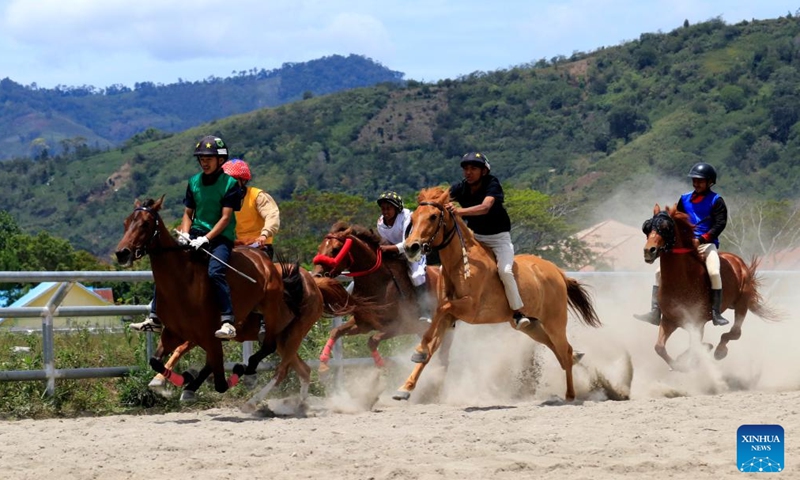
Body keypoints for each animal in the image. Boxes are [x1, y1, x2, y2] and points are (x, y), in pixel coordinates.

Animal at [114, 197, 359, 407]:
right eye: (126, 222)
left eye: (145, 224)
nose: (122, 253)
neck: (184, 280)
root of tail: (314, 284)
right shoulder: (176, 334)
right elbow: (159, 359)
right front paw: (171, 381)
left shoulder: (206, 335)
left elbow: (219, 379)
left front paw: (197, 379)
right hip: (285, 338)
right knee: (302, 370)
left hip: (291, 332)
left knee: (277, 362)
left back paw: (250, 389)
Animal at [310, 221, 444, 371]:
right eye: (320, 247)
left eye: (335, 249)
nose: (316, 275)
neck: (379, 281)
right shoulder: (364, 324)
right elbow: (336, 331)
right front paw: (323, 363)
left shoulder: (401, 326)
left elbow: (372, 341)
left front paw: (383, 366)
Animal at [395, 187, 601, 402]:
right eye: (413, 218)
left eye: (433, 216)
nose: (411, 247)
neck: (460, 263)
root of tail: (558, 272)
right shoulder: (449, 317)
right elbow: (431, 347)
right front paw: (406, 386)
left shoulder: (469, 309)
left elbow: (443, 309)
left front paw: (418, 352)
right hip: (532, 326)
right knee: (559, 350)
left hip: (555, 322)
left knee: (564, 350)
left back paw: (570, 395)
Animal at [641, 203, 778, 369]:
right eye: (647, 228)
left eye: (666, 227)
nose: (649, 251)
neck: (681, 281)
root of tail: (739, 262)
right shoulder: (669, 320)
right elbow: (659, 347)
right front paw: (679, 365)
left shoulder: (697, 324)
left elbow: (695, 347)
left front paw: (696, 355)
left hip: (741, 305)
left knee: (735, 332)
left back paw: (719, 351)